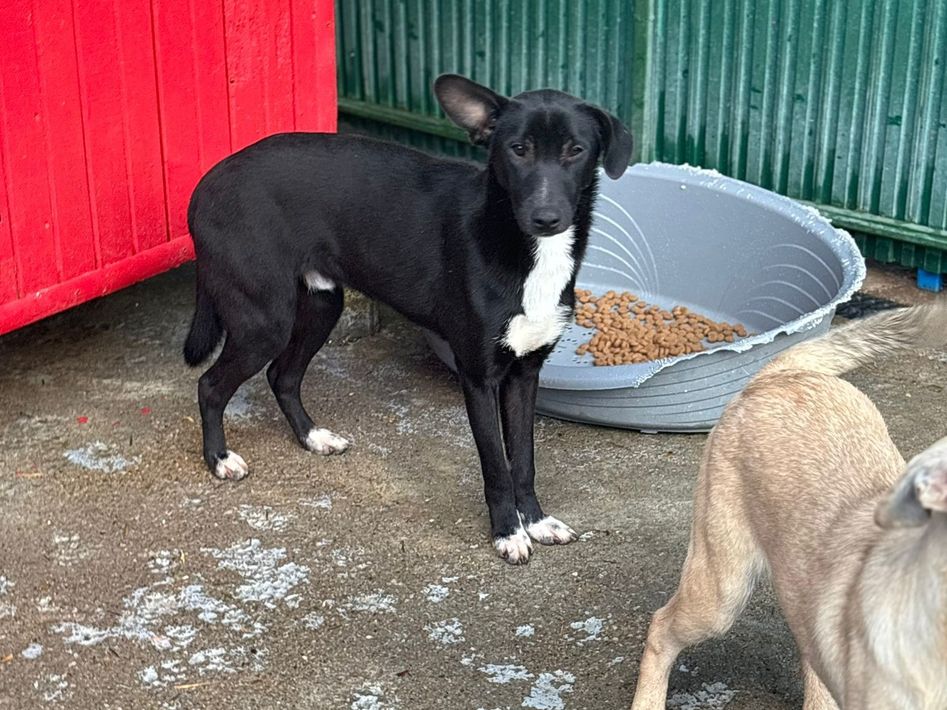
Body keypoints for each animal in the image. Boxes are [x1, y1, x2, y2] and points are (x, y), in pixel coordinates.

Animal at [183, 74, 634, 564]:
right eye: (518, 149)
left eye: (575, 150)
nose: (546, 218)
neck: (519, 245)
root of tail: (205, 183)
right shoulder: (478, 378)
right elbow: (497, 465)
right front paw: (507, 532)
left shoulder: (524, 374)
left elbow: (524, 460)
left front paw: (534, 521)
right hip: (265, 321)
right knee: (210, 385)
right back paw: (219, 459)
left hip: (323, 304)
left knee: (282, 376)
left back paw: (312, 436)